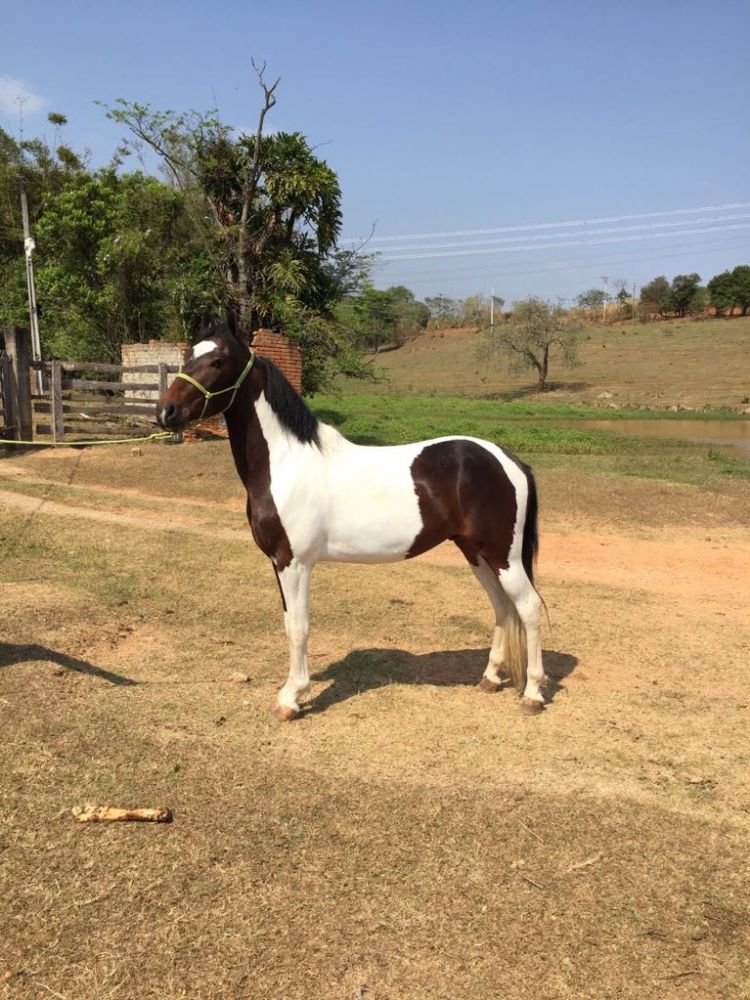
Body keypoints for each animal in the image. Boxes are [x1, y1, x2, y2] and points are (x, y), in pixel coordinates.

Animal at [157, 321, 546, 721]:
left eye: (218, 361)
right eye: (189, 354)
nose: (166, 412)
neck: (286, 463)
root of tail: (510, 460)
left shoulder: (293, 562)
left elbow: (298, 627)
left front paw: (290, 698)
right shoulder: (278, 563)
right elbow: (288, 622)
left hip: (503, 556)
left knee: (529, 608)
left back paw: (533, 693)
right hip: (476, 553)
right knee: (502, 607)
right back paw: (490, 678)